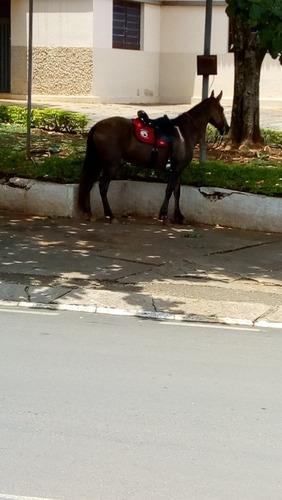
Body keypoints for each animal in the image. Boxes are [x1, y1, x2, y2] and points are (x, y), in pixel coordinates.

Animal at [77, 91, 229, 224]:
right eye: (221, 109)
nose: (226, 128)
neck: (184, 134)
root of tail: (97, 126)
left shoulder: (178, 169)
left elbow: (177, 192)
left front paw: (179, 217)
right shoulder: (176, 169)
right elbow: (169, 190)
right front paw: (164, 215)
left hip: (98, 163)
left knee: (89, 183)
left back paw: (89, 213)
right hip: (111, 165)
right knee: (103, 187)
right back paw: (111, 215)